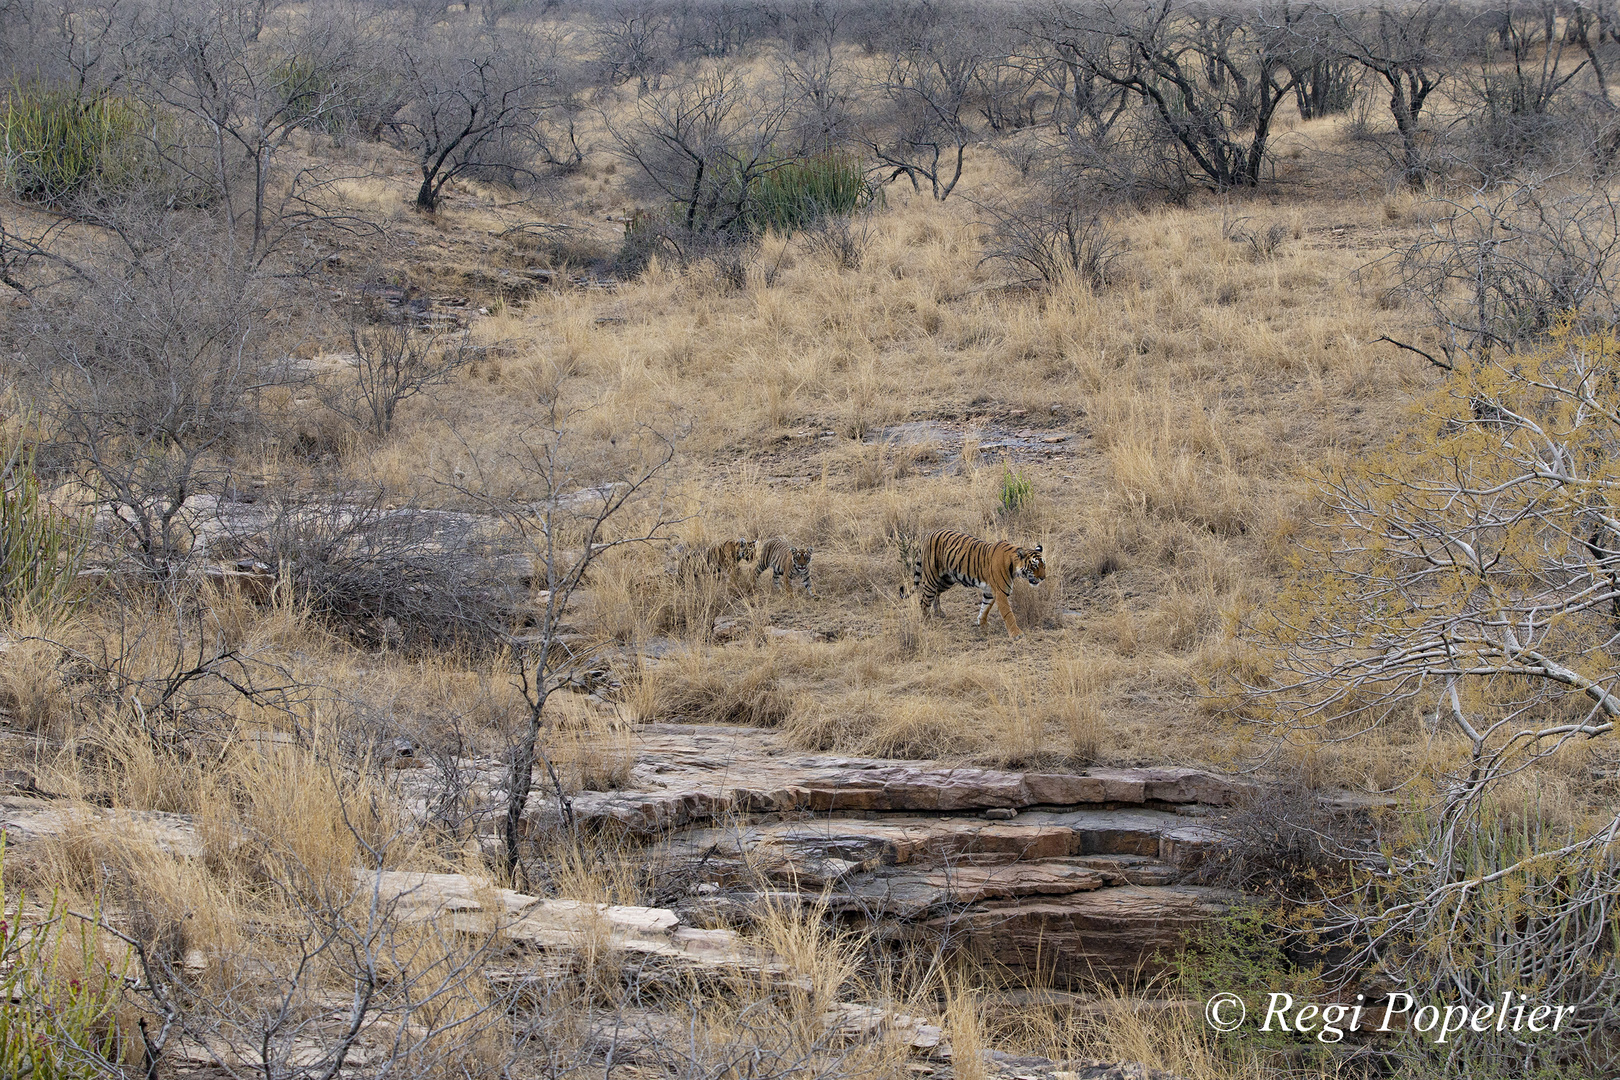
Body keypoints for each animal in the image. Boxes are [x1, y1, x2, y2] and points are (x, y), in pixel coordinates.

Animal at [900, 527, 1049, 637]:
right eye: (1034, 566)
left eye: (1044, 565)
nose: (1043, 578)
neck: (1014, 566)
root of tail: (928, 535)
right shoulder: (1000, 592)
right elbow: (1008, 614)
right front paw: (1017, 635)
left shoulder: (990, 591)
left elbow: (985, 608)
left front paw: (982, 625)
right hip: (932, 578)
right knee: (924, 601)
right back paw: (928, 622)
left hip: (947, 580)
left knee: (936, 594)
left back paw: (939, 612)